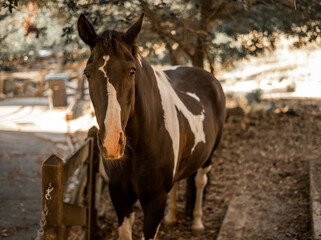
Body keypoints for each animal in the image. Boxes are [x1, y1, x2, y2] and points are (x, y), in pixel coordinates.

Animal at [77, 13, 225, 240]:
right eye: (87, 73)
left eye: (131, 71)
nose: (112, 143)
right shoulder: (120, 197)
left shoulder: (155, 200)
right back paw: (171, 219)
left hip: (209, 156)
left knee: (200, 181)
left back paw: (197, 223)